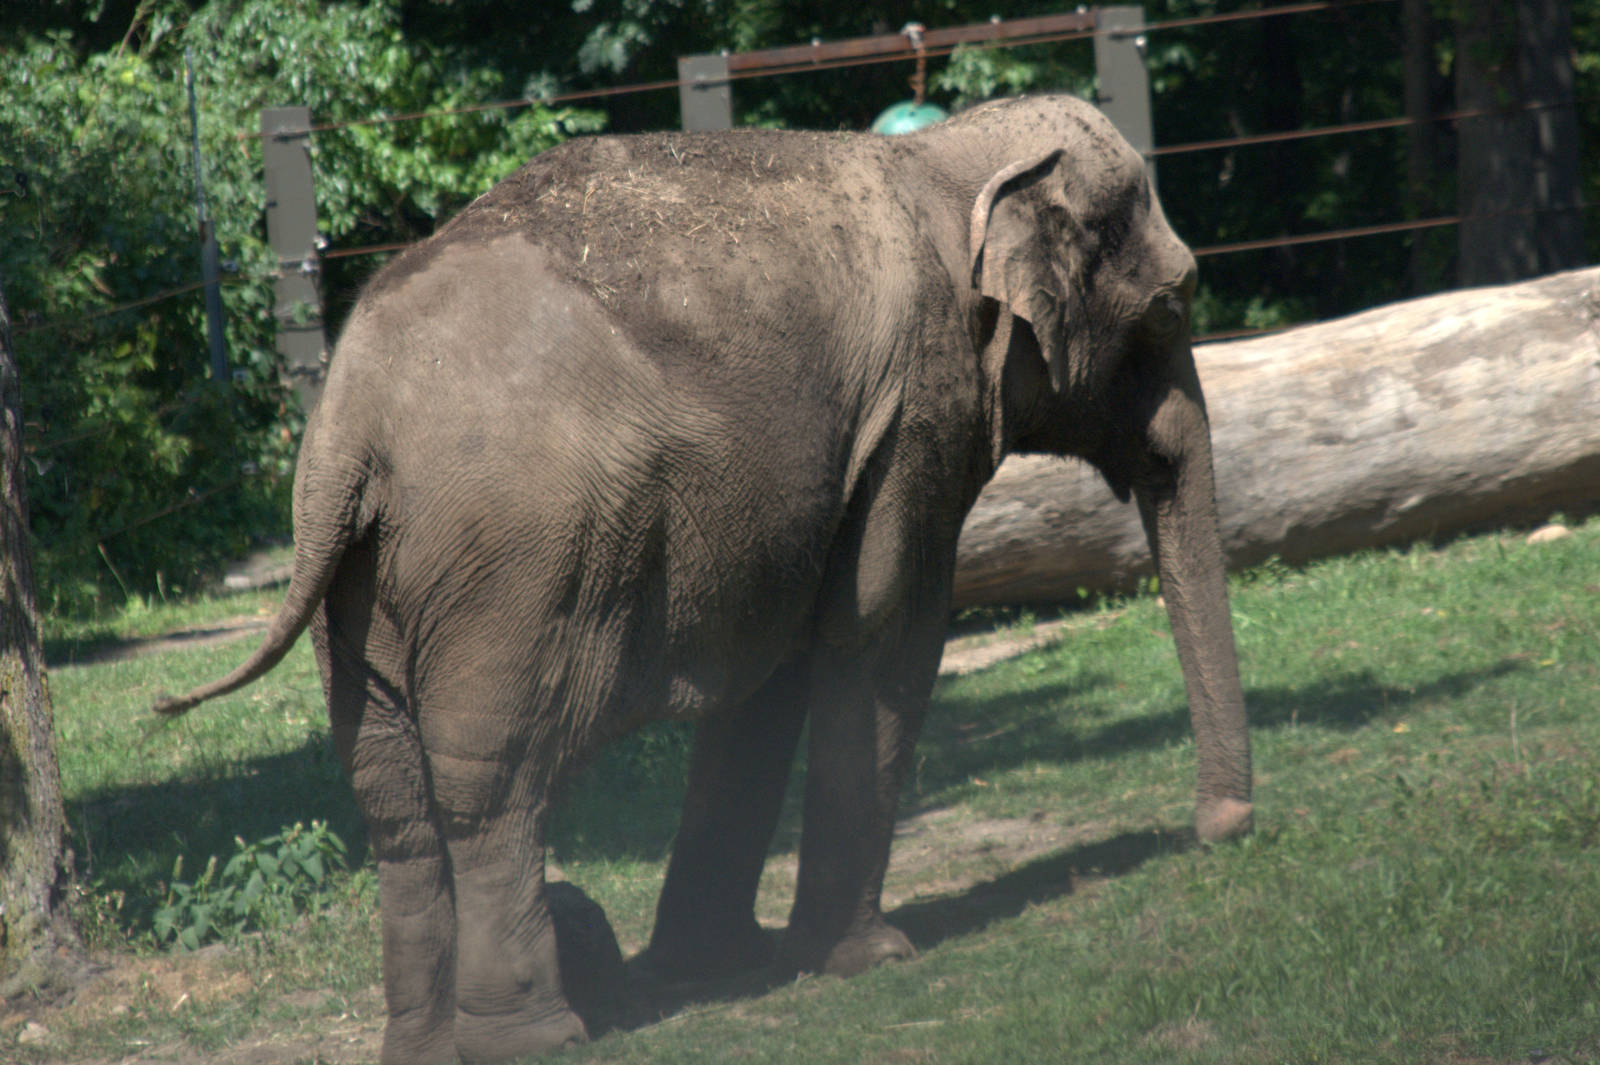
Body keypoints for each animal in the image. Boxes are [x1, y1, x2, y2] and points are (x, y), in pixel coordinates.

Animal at [155, 94, 1252, 1063]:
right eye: (1172, 308)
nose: (1221, 830)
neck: (949, 155)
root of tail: (350, 423)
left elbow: (769, 673)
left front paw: (711, 967)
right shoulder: (915, 417)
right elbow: (885, 635)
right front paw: (866, 959)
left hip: (365, 580)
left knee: (389, 792)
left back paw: (426, 1046)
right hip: (512, 566)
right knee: (491, 778)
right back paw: (535, 1037)